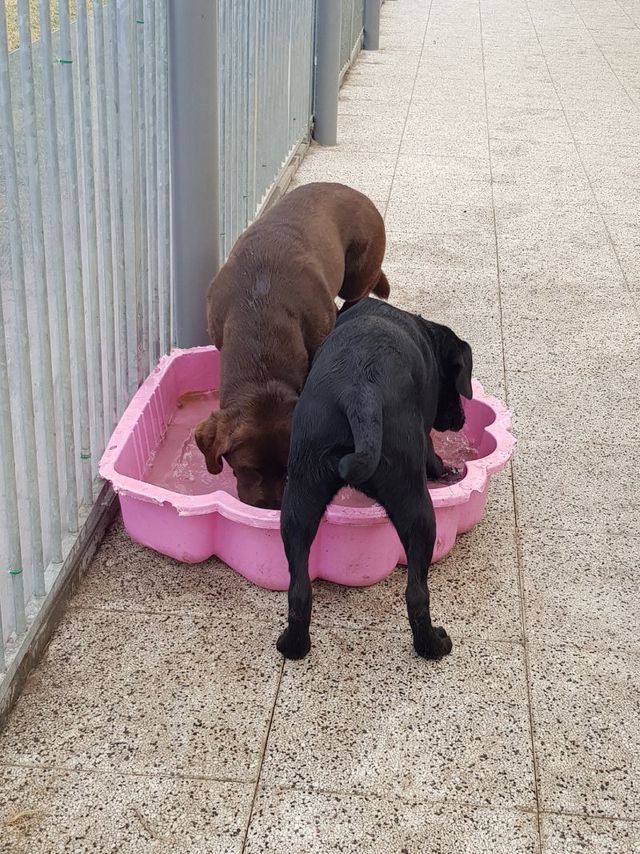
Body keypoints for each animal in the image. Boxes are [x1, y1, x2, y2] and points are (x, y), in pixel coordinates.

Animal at [195, 182, 388, 508]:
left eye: (289, 468)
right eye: (246, 468)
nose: (272, 507)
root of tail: (353, 191)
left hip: (358, 273)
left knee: (360, 293)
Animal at [278, 300, 472, 664]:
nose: (461, 420)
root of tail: (361, 393)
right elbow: (433, 457)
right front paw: (445, 469)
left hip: (299, 498)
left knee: (298, 590)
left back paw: (293, 645)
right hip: (419, 511)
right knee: (417, 594)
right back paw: (433, 646)